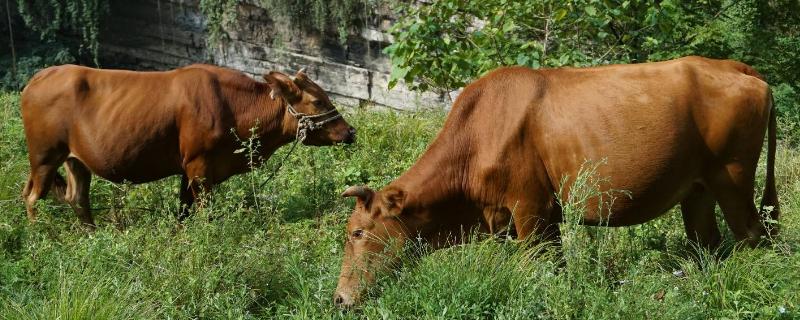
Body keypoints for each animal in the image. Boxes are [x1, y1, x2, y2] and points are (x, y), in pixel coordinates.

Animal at [21, 63, 356, 226]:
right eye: (318, 100)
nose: (350, 132)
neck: (232, 106)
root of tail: (39, 77)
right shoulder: (199, 164)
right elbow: (204, 210)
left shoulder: (188, 169)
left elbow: (183, 210)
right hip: (44, 156)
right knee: (32, 197)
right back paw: (43, 238)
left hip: (74, 160)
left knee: (77, 198)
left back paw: (91, 235)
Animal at [334, 56, 780, 306]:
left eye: (357, 232)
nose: (339, 299)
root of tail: (732, 66)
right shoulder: (528, 218)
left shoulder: (531, 209)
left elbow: (542, 269)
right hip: (698, 189)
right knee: (708, 244)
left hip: (733, 178)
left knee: (752, 237)